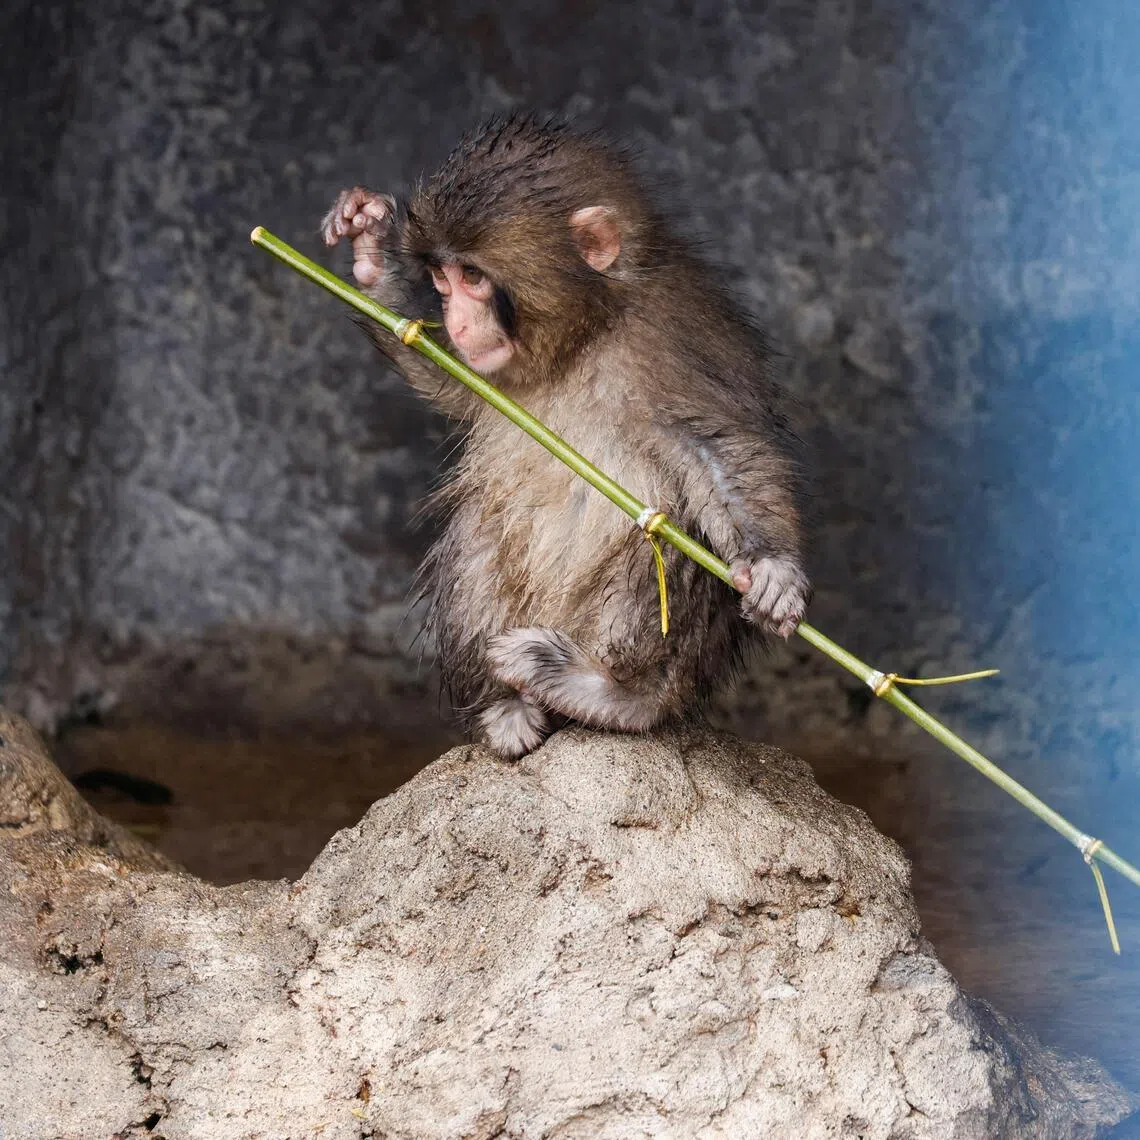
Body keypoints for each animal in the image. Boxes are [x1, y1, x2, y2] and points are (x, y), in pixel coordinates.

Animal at [321, 114, 810, 760]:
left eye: (472, 276)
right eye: (440, 279)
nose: (456, 320)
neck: (585, 333)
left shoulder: (669, 341)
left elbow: (715, 446)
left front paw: (774, 566)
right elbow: (445, 379)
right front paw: (372, 254)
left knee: (663, 528)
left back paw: (615, 694)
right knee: (481, 530)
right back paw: (506, 704)